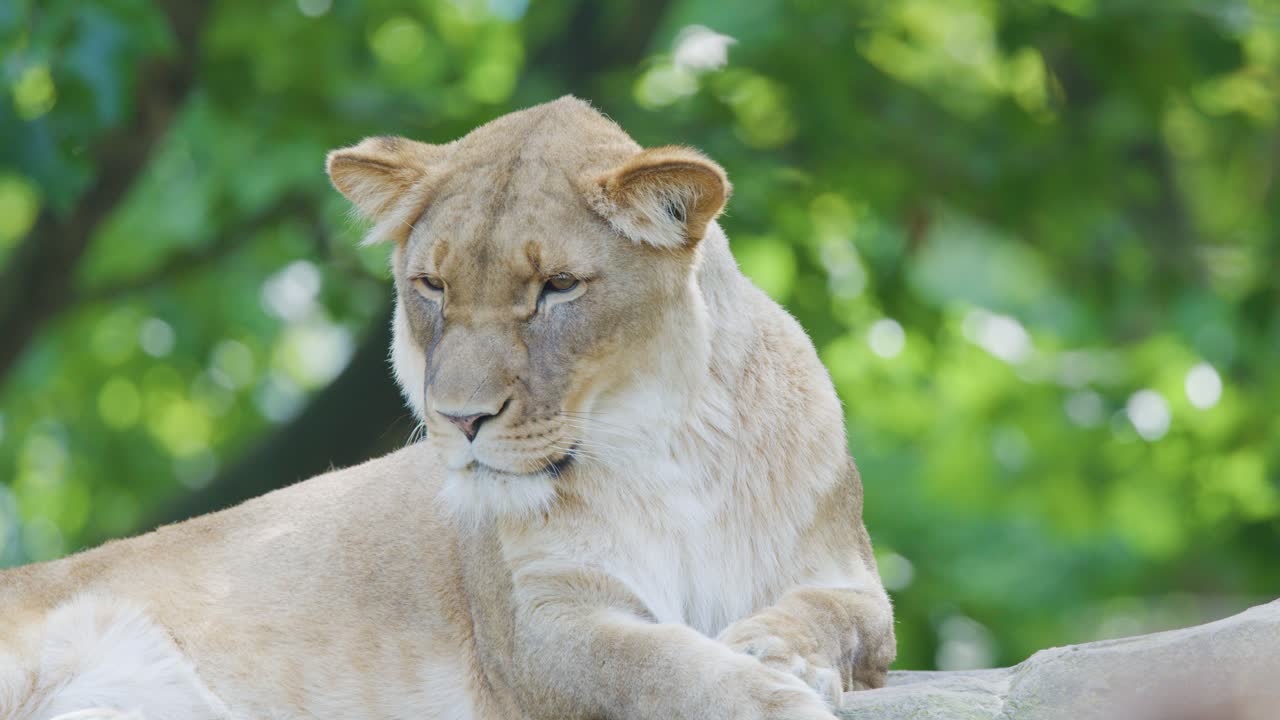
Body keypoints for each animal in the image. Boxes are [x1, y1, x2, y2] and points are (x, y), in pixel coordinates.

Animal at [0, 96, 895, 720]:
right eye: (431, 286)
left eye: (557, 287)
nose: (462, 420)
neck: (666, 453)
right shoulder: (539, 629)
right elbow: (659, 667)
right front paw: (771, 696)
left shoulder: (847, 575)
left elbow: (836, 616)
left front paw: (777, 650)